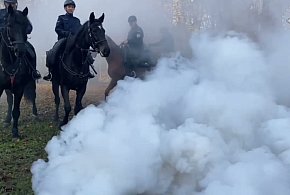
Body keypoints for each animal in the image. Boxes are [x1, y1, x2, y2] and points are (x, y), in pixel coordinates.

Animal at [0, 5, 35, 137]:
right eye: (9, 25)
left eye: (26, 26)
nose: (20, 51)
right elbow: (11, 103)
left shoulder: (19, 88)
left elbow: (16, 111)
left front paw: (15, 132)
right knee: (10, 100)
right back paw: (6, 120)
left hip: (31, 81)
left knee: (33, 96)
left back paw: (35, 114)